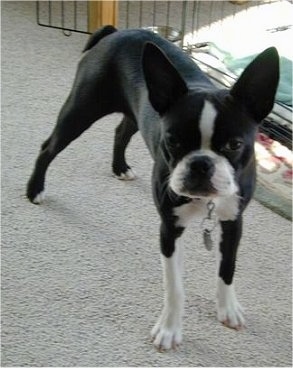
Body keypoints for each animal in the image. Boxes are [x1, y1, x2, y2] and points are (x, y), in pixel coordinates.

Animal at [26, 26, 278, 350]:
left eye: (234, 145)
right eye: (172, 141)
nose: (201, 164)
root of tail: (118, 31)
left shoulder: (233, 221)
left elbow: (228, 268)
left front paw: (228, 308)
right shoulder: (169, 228)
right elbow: (175, 286)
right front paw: (169, 330)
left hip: (133, 113)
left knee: (121, 131)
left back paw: (120, 167)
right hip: (81, 109)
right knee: (49, 147)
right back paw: (35, 189)